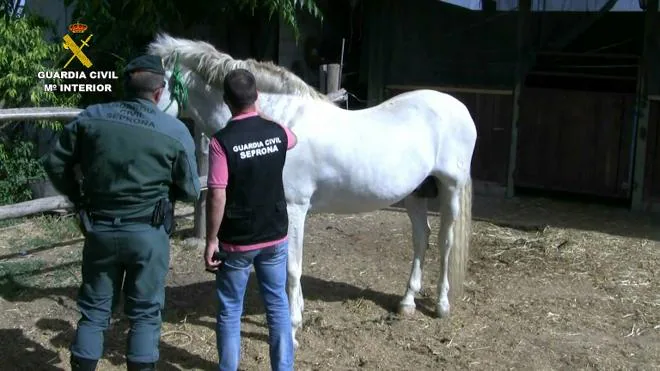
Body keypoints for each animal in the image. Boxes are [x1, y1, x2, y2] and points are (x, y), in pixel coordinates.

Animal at [148, 33, 476, 348]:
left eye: (158, 84)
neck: (278, 125)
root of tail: (457, 107)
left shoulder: (294, 208)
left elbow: (292, 269)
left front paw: (292, 328)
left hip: (451, 187)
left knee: (445, 241)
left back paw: (442, 305)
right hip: (416, 193)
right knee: (422, 238)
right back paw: (407, 302)